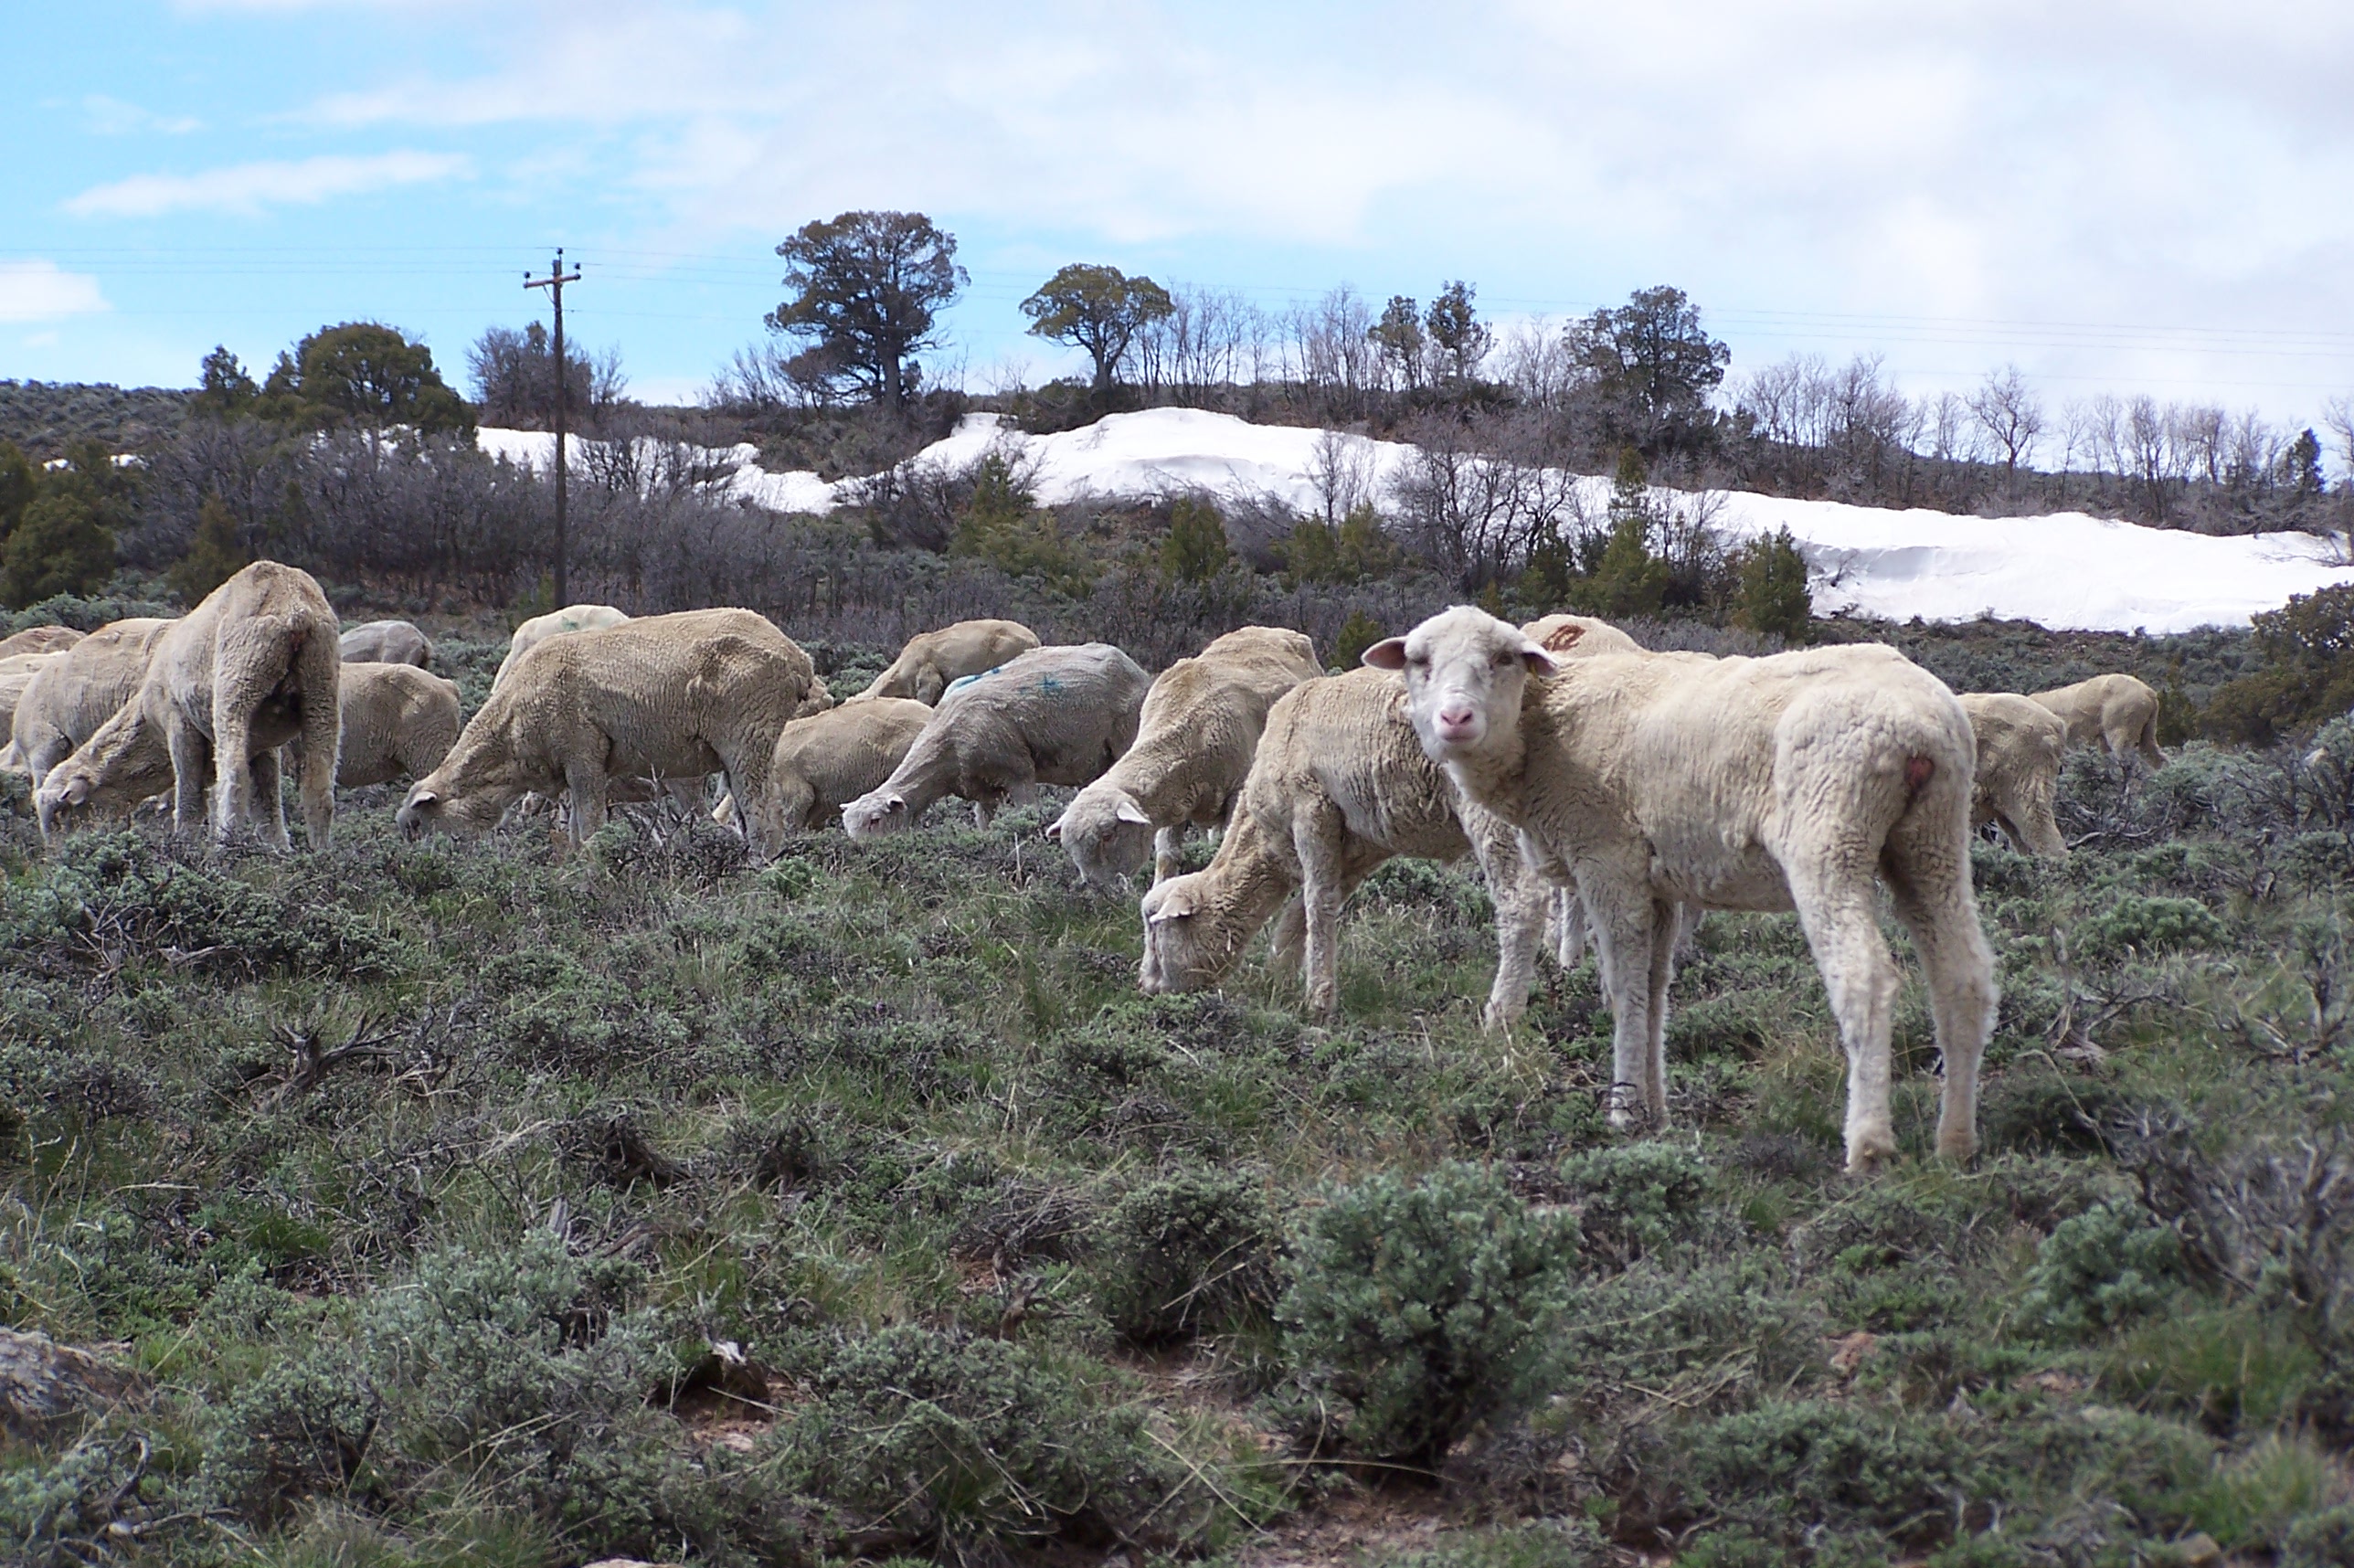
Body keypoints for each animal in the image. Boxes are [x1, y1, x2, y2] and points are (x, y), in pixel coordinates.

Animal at [39, 563, 341, 850]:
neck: (148, 722)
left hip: (238, 683)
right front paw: (278, 850)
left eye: (62, 814)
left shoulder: (178, 720)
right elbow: (266, 804)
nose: (54, 856)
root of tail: (295, 607)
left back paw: (225, 846)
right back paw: (321, 853)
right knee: (318, 784)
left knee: (233, 777)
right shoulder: (263, 745)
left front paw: (186, 842)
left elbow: (189, 792)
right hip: (321, 687)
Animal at [841, 643, 1150, 838]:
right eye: (847, 826)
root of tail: (1134, 667)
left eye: (875, 821)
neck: (946, 745)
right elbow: (985, 824)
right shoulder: (982, 789)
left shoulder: (1018, 772)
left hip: (1127, 735)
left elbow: (1028, 812)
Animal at [1048, 625, 1322, 887]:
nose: (1096, 889)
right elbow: (1168, 854)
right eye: (1070, 848)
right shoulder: (1174, 801)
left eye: (1108, 835)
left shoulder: (1236, 791)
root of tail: (1277, 630)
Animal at [1136, 666, 1552, 1032]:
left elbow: (1316, 905)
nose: (1144, 987)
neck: (1265, 839)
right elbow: (1306, 910)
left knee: (1523, 902)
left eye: (1156, 932)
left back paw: (1501, 1018)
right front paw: (1278, 975)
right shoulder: (1360, 844)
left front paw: (1318, 1001)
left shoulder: (1312, 810)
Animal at [1368, 606, 1996, 1171]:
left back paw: (1868, 1145)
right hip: (1933, 838)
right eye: (1419, 662)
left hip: (1829, 832)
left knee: (1864, 978)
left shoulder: (1609, 859)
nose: (1455, 718)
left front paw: (1623, 1111)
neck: (1538, 732)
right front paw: (1656, 1109)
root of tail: (1918, 725)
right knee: (1963, 977)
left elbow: (1622, 987)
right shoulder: (1659, 884)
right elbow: (1654, 990)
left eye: (1503, 659)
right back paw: (1955, 1143)